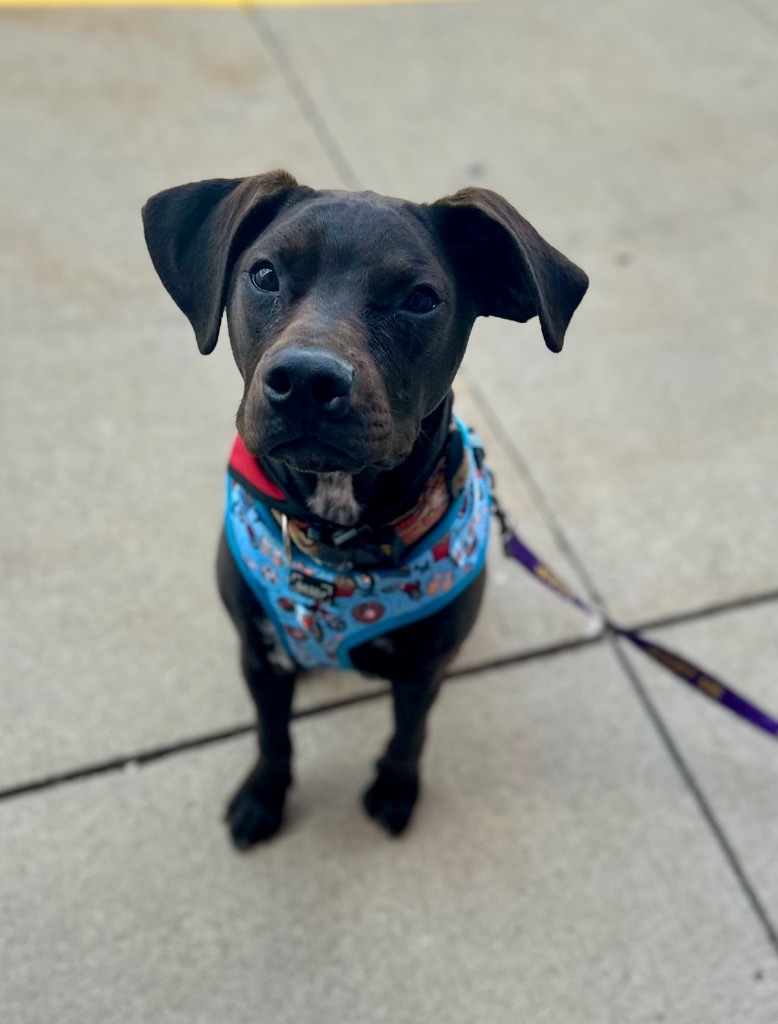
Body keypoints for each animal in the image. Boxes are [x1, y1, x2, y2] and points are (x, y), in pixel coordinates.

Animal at [143, 172, 585, 847]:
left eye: (421, 299)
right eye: (264, 274)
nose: (305, 380)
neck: (338, 540)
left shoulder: (422, 672)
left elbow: (409, 733)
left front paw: (396, 788)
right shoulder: (259, 657)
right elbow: (272, 734)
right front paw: (264, 794)